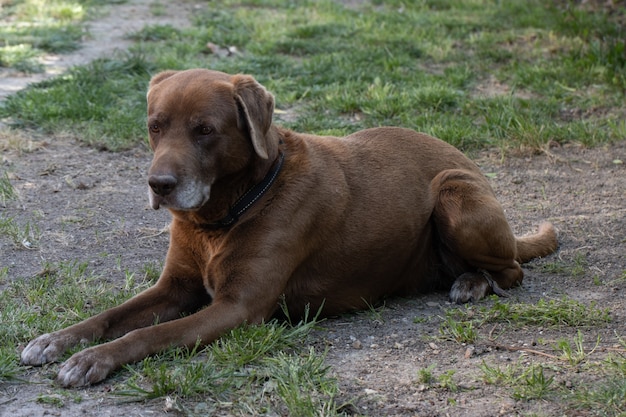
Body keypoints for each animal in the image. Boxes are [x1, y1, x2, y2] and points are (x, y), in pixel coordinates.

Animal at [20, 69, 556, 386]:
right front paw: (58, 340)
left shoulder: (237, 308)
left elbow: (146, 336)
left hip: (454, 194)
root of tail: (465, 159)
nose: (159, 185)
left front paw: (94, 359)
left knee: (512, 270)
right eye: (155, 126)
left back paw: (472, 282)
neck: (227, 213)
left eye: (205, 130)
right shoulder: (174, 287)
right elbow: (111, 316)